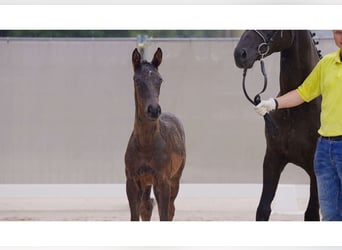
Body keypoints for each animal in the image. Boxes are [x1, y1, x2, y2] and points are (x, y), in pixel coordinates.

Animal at [124, 47, 186, 221]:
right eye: (137, 80)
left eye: (160, 79)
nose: (153, 110)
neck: (146, 145)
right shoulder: (132, 182)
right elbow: (136, 215)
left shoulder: (163, 182)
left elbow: (164, 214)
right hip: (146, 182)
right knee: (147, 207)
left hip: (175, 179)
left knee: (171, 209)